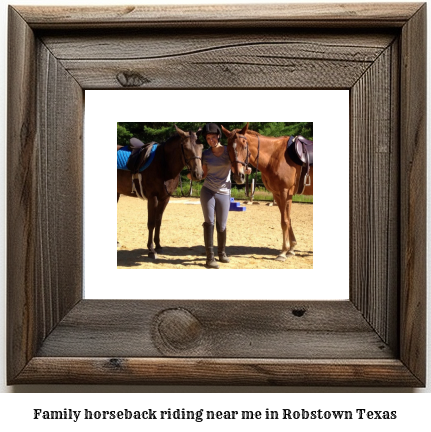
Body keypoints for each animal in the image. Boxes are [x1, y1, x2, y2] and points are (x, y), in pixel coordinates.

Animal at [116, 126, 204, 258]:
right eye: (186, 148)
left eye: (201, 147)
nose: (197, 174)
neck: (164, 165)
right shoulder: (153, 198)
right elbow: (151, 223)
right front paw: (151, 250)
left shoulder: (165, 198)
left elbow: (158, 221)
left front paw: (158, 246)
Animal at [223, 123, 314, 262]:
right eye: (228, 148)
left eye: (244, 146)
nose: (239, 176)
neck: (274, 156)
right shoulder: (278, 194)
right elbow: (288, 219)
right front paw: (291, 249)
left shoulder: (285, 193)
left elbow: (285, 221)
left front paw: (283, 252)